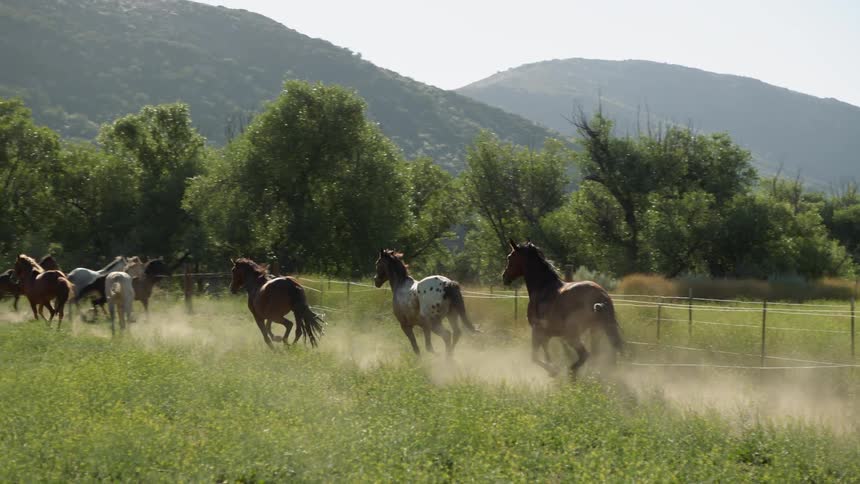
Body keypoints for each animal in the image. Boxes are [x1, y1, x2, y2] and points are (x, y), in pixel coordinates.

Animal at [502, 240, 623, 377]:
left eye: (509, 257)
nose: (504, 277)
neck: (543, 288)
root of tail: (600, 295)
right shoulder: (547, 334)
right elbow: (546, 351)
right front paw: (552, 369)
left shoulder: (537, 330)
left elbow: (535, 357)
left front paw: (553, 371)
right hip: (596, 331)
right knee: (594, 356)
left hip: (572, 334)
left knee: (584, 355)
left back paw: (571, 373)